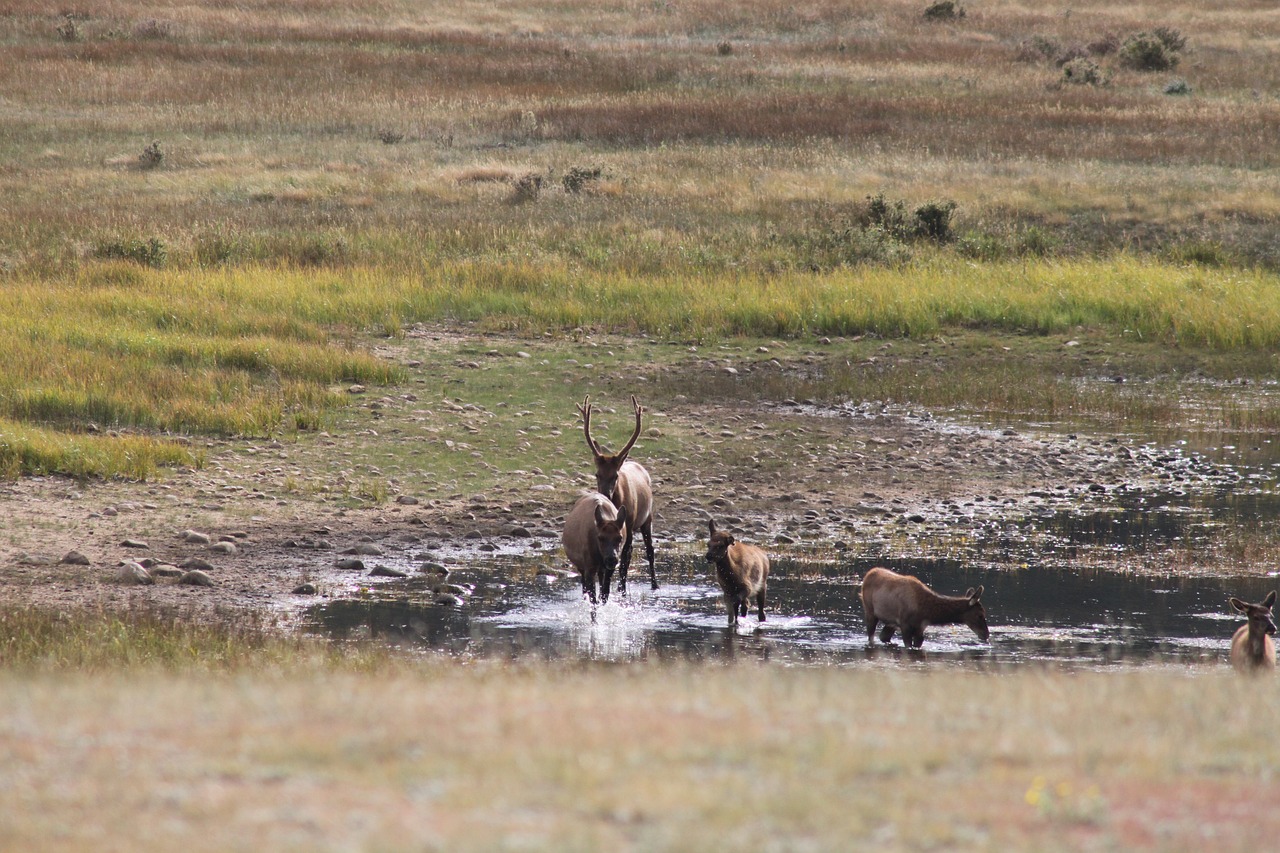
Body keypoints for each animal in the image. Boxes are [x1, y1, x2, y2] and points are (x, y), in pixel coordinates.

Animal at [581, 394, 660, 591]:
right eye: (597, 474)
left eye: (615, 475)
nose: (605, 493)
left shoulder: (629, 523)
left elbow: (625, 557)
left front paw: (622, 587)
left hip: (647, 518)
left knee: (648, 550)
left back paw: (654, 584)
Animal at [860, 563, 988, 645]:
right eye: (980, 615)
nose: (986, 634)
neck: (926, 611)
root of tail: (868, 575)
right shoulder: (905, 625)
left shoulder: (920, 628)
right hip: (869, 611)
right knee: (871, 636)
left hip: (891, 623)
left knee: (883, 637)